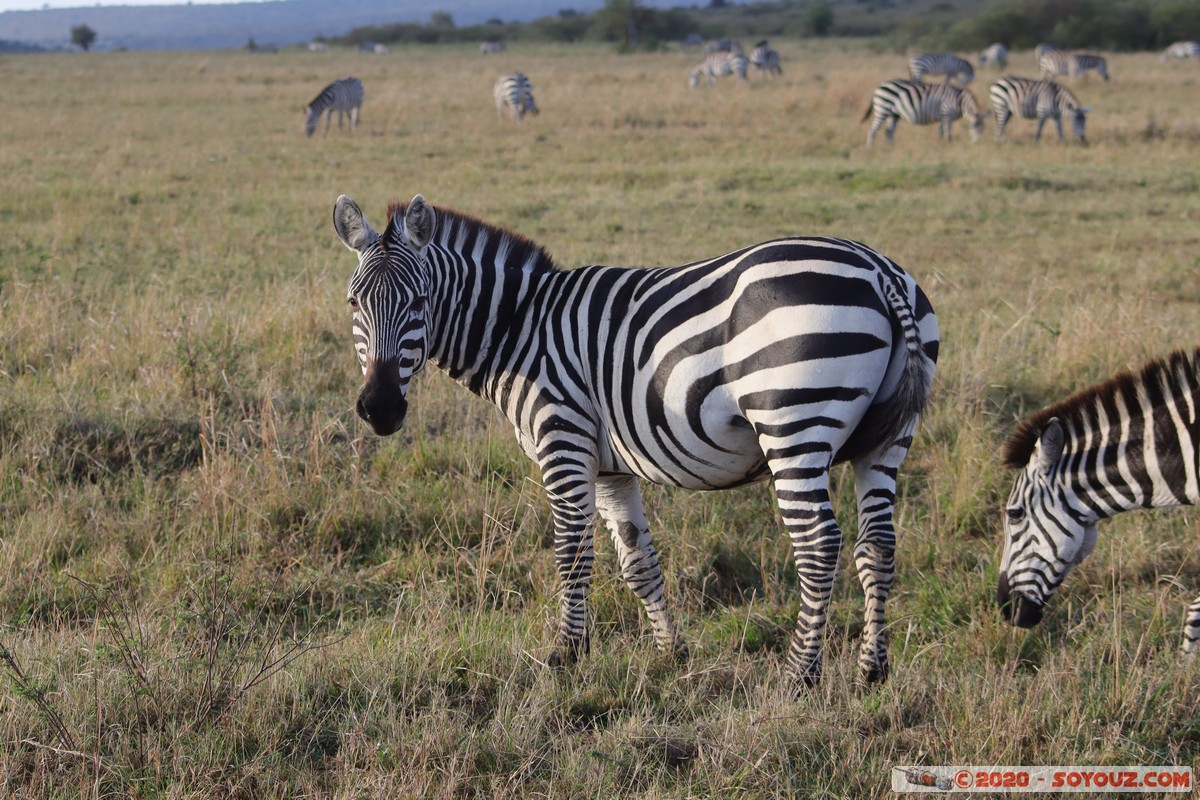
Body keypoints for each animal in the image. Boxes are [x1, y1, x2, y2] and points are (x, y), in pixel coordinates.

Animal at [333, 194, 940, 690]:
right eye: (353, 304)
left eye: (419, 303)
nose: (380, 409)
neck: (518, 327)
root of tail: (878, 270)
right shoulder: (611, 468)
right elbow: (638, 562)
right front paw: (672, 653)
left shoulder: (564, 441)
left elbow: (573, 553)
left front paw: (566, 656)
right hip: (888, 440)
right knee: (877, 544)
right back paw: (870, 670)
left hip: (793, 424)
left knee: (818, 545)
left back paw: (799, 677)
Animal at [864, 80, 993, 146]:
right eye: (972, 126)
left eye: (983, 128)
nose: (976, 143)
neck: (959, 101)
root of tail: (878, 87)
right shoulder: (946, 115)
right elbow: (948, 134)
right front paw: (949, 146)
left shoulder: (943, 117)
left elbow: (940, 133)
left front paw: (938, 146)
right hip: (882, 110)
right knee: (872, 130)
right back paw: (870, 149)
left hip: (893, 115)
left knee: (889, 132)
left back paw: (892, 148)